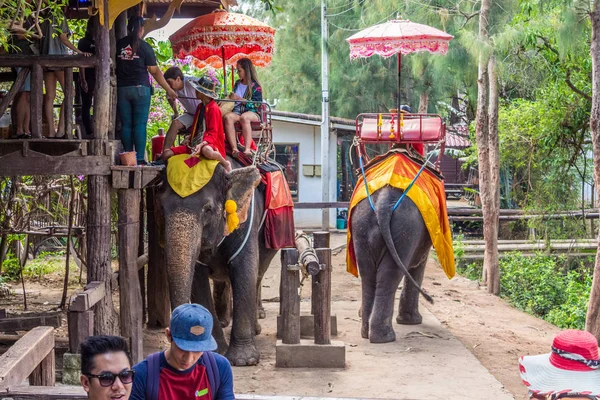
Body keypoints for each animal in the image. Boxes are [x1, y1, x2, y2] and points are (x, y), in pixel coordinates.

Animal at [350, 186, 434, 342]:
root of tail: (384, 199)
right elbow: (419, 263)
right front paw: (412, 321)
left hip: (360, 226)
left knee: (368, 275)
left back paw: (366, 333)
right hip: (406, 230)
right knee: (390, 276)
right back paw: (385, 337)